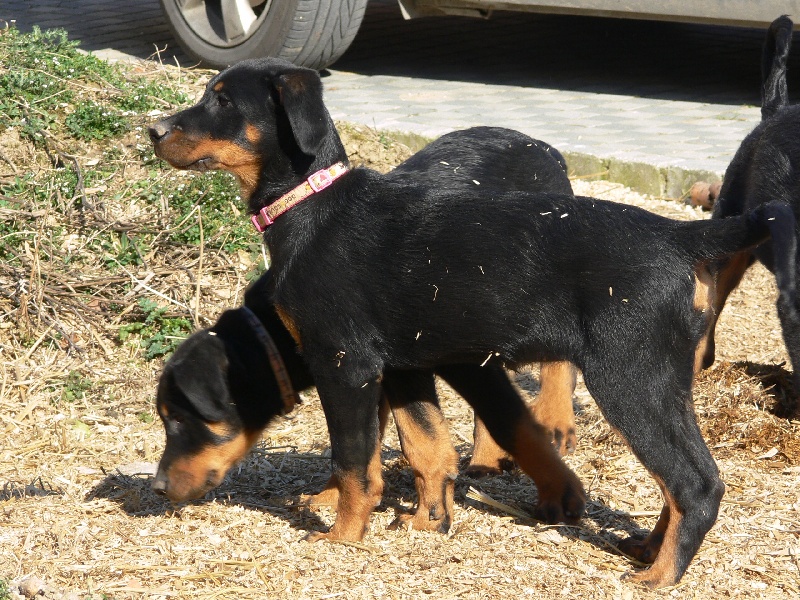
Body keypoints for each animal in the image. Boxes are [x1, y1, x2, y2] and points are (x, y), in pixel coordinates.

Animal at [152, 127, 576, 536]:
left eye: (178, 419)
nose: (157, 488)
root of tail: (543, 147)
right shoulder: (382, 370)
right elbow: (377, 442)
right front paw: (335, 498)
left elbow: (364, 445)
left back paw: (551, 424)